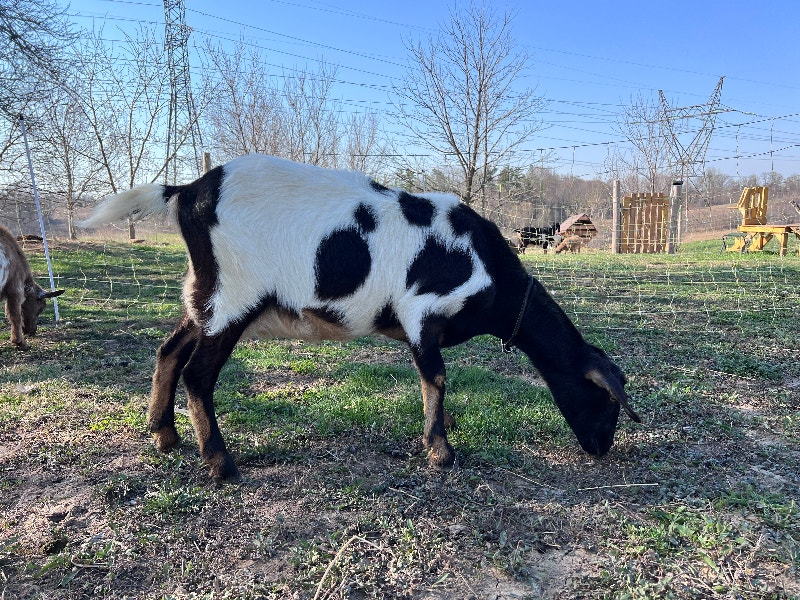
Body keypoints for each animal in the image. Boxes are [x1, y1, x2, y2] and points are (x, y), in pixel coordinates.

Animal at [80, 154, 639, 481]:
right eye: (606, 399)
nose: (602, 448)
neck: (489, 271)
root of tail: (187, 191)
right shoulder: (421, 312)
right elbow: (436, 378)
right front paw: (441, 452)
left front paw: (439, 437)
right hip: (233, 299)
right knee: (198, 374)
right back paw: (220, 464)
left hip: (204, 294)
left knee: (169, 350)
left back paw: (164, 436)